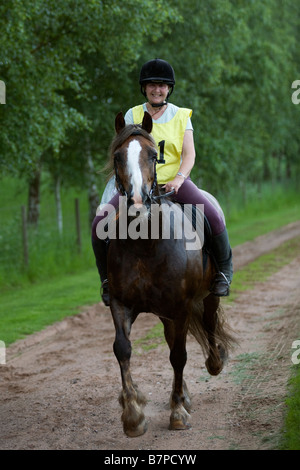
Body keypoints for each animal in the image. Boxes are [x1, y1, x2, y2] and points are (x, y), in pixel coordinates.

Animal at [104, 111, 236, 436]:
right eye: (117, 157)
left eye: (153, 155)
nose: (138, 204)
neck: (145, 244)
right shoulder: (120, 303)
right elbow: (122, 348)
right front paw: (133, 415)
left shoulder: (181, 306)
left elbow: (179, 355)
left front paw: (177, 413)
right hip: (164, 313)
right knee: (170, 337)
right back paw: (184, 394)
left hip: (207, 297)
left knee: (208, 325)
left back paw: (215, 362)